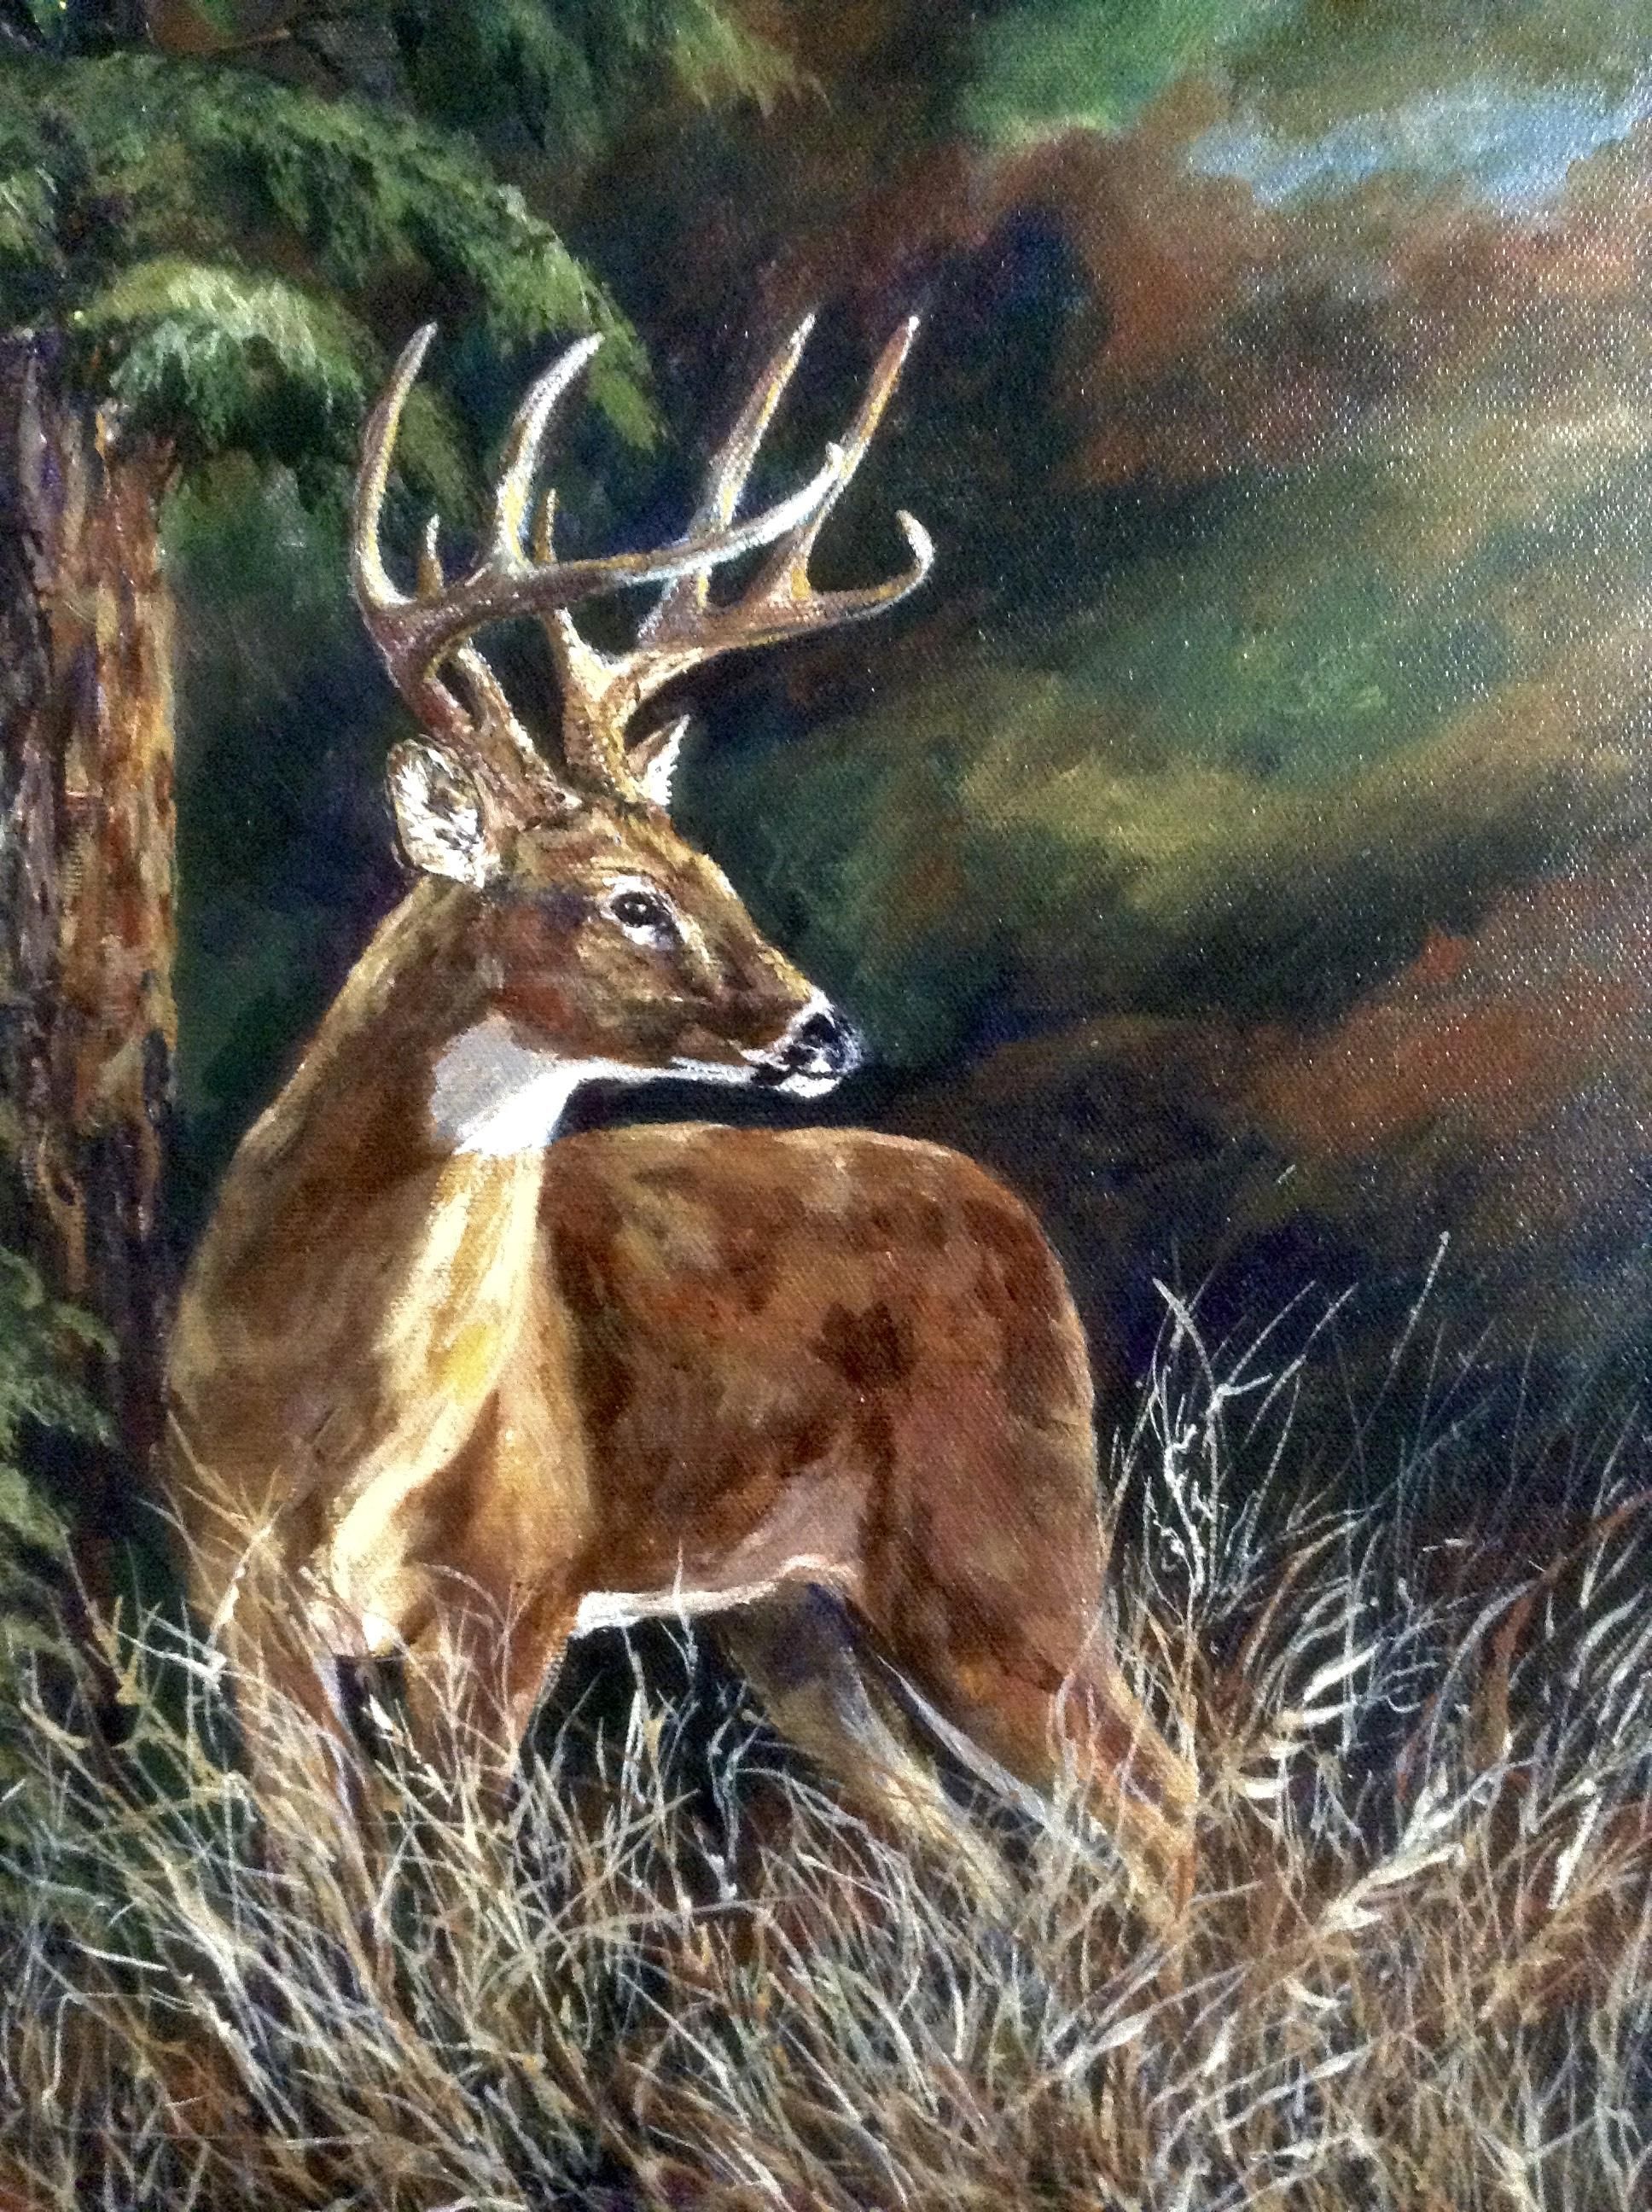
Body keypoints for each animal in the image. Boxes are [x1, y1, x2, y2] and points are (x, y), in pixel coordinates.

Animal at [162, 312, 1198, 1929]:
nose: (825, 1030)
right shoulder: (242, 1606)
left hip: (1001, 1539)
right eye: (631, 899)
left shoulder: (509, 1597)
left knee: (1164, 1804)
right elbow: (336, 1913)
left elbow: (465, 1910)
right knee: (976, 1846)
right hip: (798, 1611)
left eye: (713, 872)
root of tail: (1019, 1219)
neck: (342, 1423)